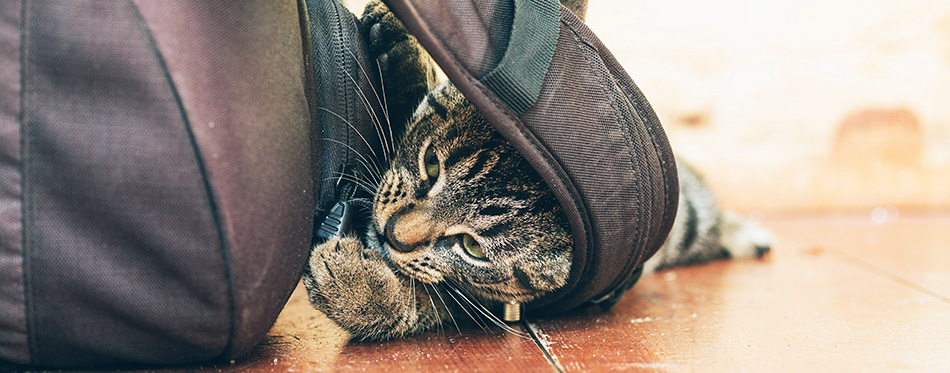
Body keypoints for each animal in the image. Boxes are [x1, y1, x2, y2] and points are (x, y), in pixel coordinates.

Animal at [304, 0, 772, 340]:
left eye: (472, 248)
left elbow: (435, 305)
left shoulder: (500, 304)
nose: (391, 234)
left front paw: (359, 290)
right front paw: (402, 48)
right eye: (432, 164)